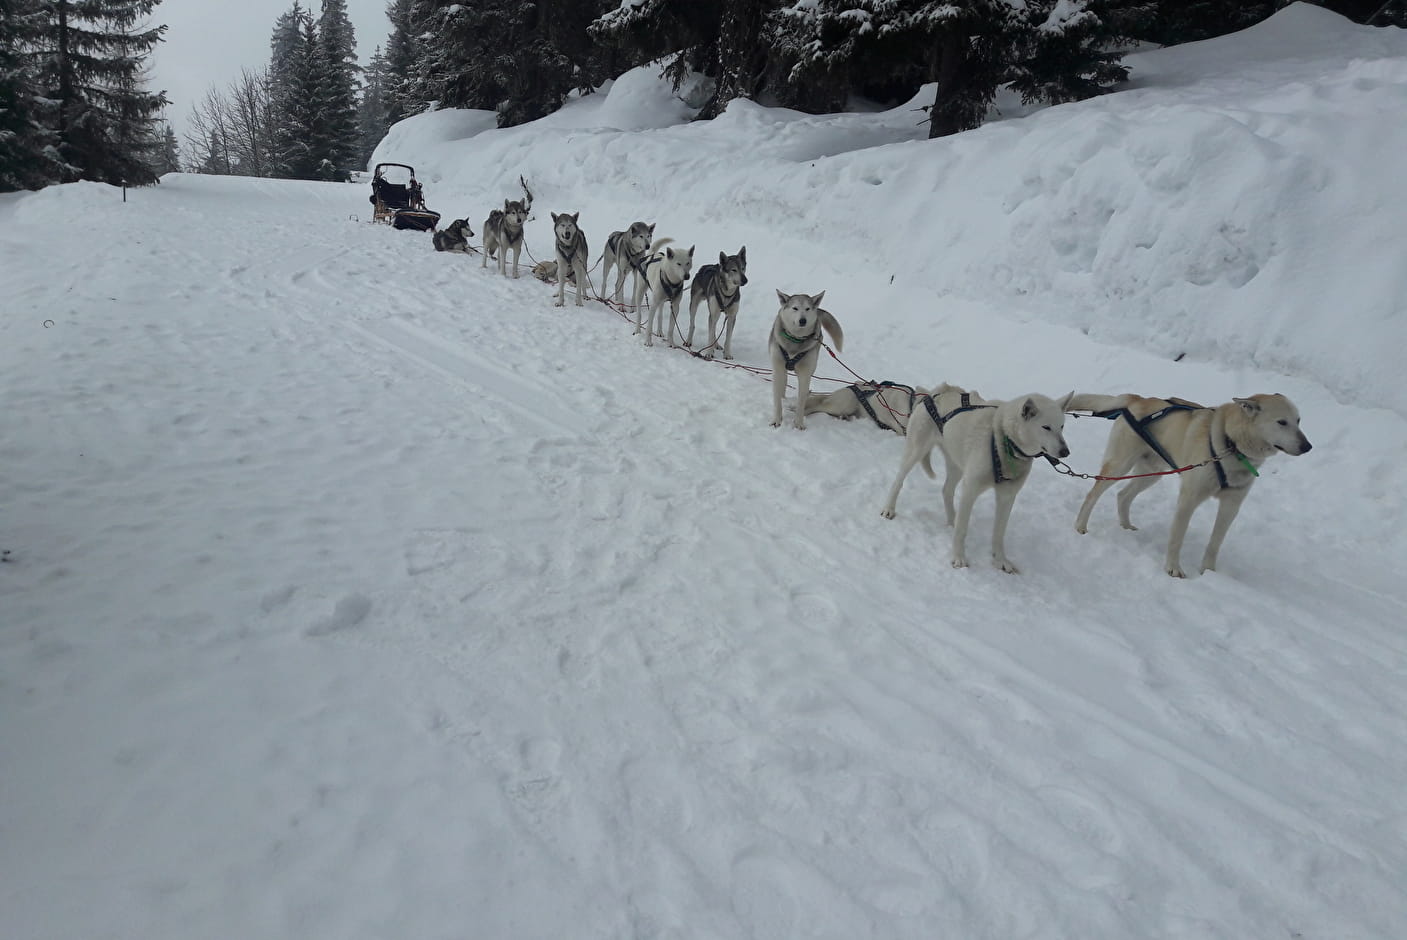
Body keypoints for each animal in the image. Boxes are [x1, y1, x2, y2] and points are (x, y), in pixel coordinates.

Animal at [765, 289, 838, 430]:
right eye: (795, 308)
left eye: (807, 308)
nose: (803, 320)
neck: (795, 341)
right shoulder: (777, 369)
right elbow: (777, 398)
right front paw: (777, 419)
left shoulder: (805, 374)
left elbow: (801, 400)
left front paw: (798, 423)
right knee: (782, 386)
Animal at [877, 382, 1074, 574]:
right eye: (1046, 427)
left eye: (1062, 426)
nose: (1065, 451)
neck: (1003, 441)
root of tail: (939, 390)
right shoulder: (970, 489)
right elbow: (962, 530)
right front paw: (958, 558)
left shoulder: (1007, 497)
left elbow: (999, 533)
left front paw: (1000, 561)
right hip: (915, 451)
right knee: (898, 481)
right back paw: (889, 508)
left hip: (957, 465)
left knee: (946, 490)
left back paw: (952, 519)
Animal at [1069, 391, 1311, 579]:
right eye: (1282, 422)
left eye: (1298, 421)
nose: (1307, 446)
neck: (1231, 445)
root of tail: (1138, 399)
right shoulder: (1189, 499)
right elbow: (1177, 538)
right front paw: (1173, 568)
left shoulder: (1231, 506)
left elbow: (1215, 543)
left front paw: (1209, 572)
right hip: (1120, 466)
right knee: (1094, 494)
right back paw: (1081, 525)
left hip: (1152, 474)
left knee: (1123, 495)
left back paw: (1126, 526)